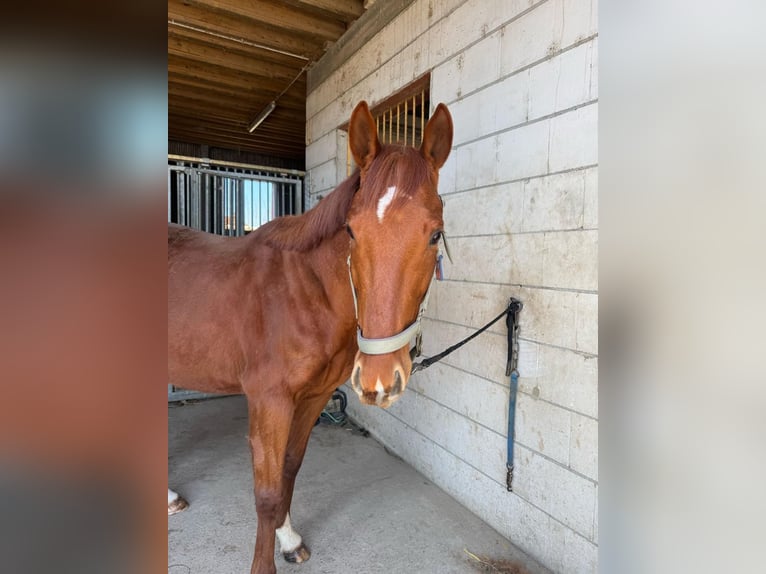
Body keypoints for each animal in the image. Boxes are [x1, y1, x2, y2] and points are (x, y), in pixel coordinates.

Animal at [168, 100, 453, 574]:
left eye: (435, 234)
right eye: (352, 231)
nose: (379, 379)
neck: (304, 292)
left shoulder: (314, 398)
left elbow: (289, 469)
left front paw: (289, 540)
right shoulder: (270, 402)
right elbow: (266, 493)